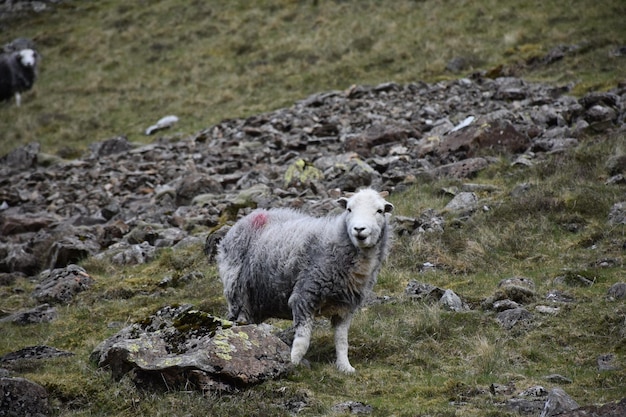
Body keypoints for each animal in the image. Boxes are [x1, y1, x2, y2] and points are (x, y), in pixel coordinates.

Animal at [214, 187, 390, 372]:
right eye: (349, 209)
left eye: (380, 211)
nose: (359, 229)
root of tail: (250, 216)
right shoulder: (304, 296)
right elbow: (302, 342)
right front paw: (292, 364)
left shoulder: (345, 308)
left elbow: (342, 341)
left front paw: (345, 367)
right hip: (237, 292)